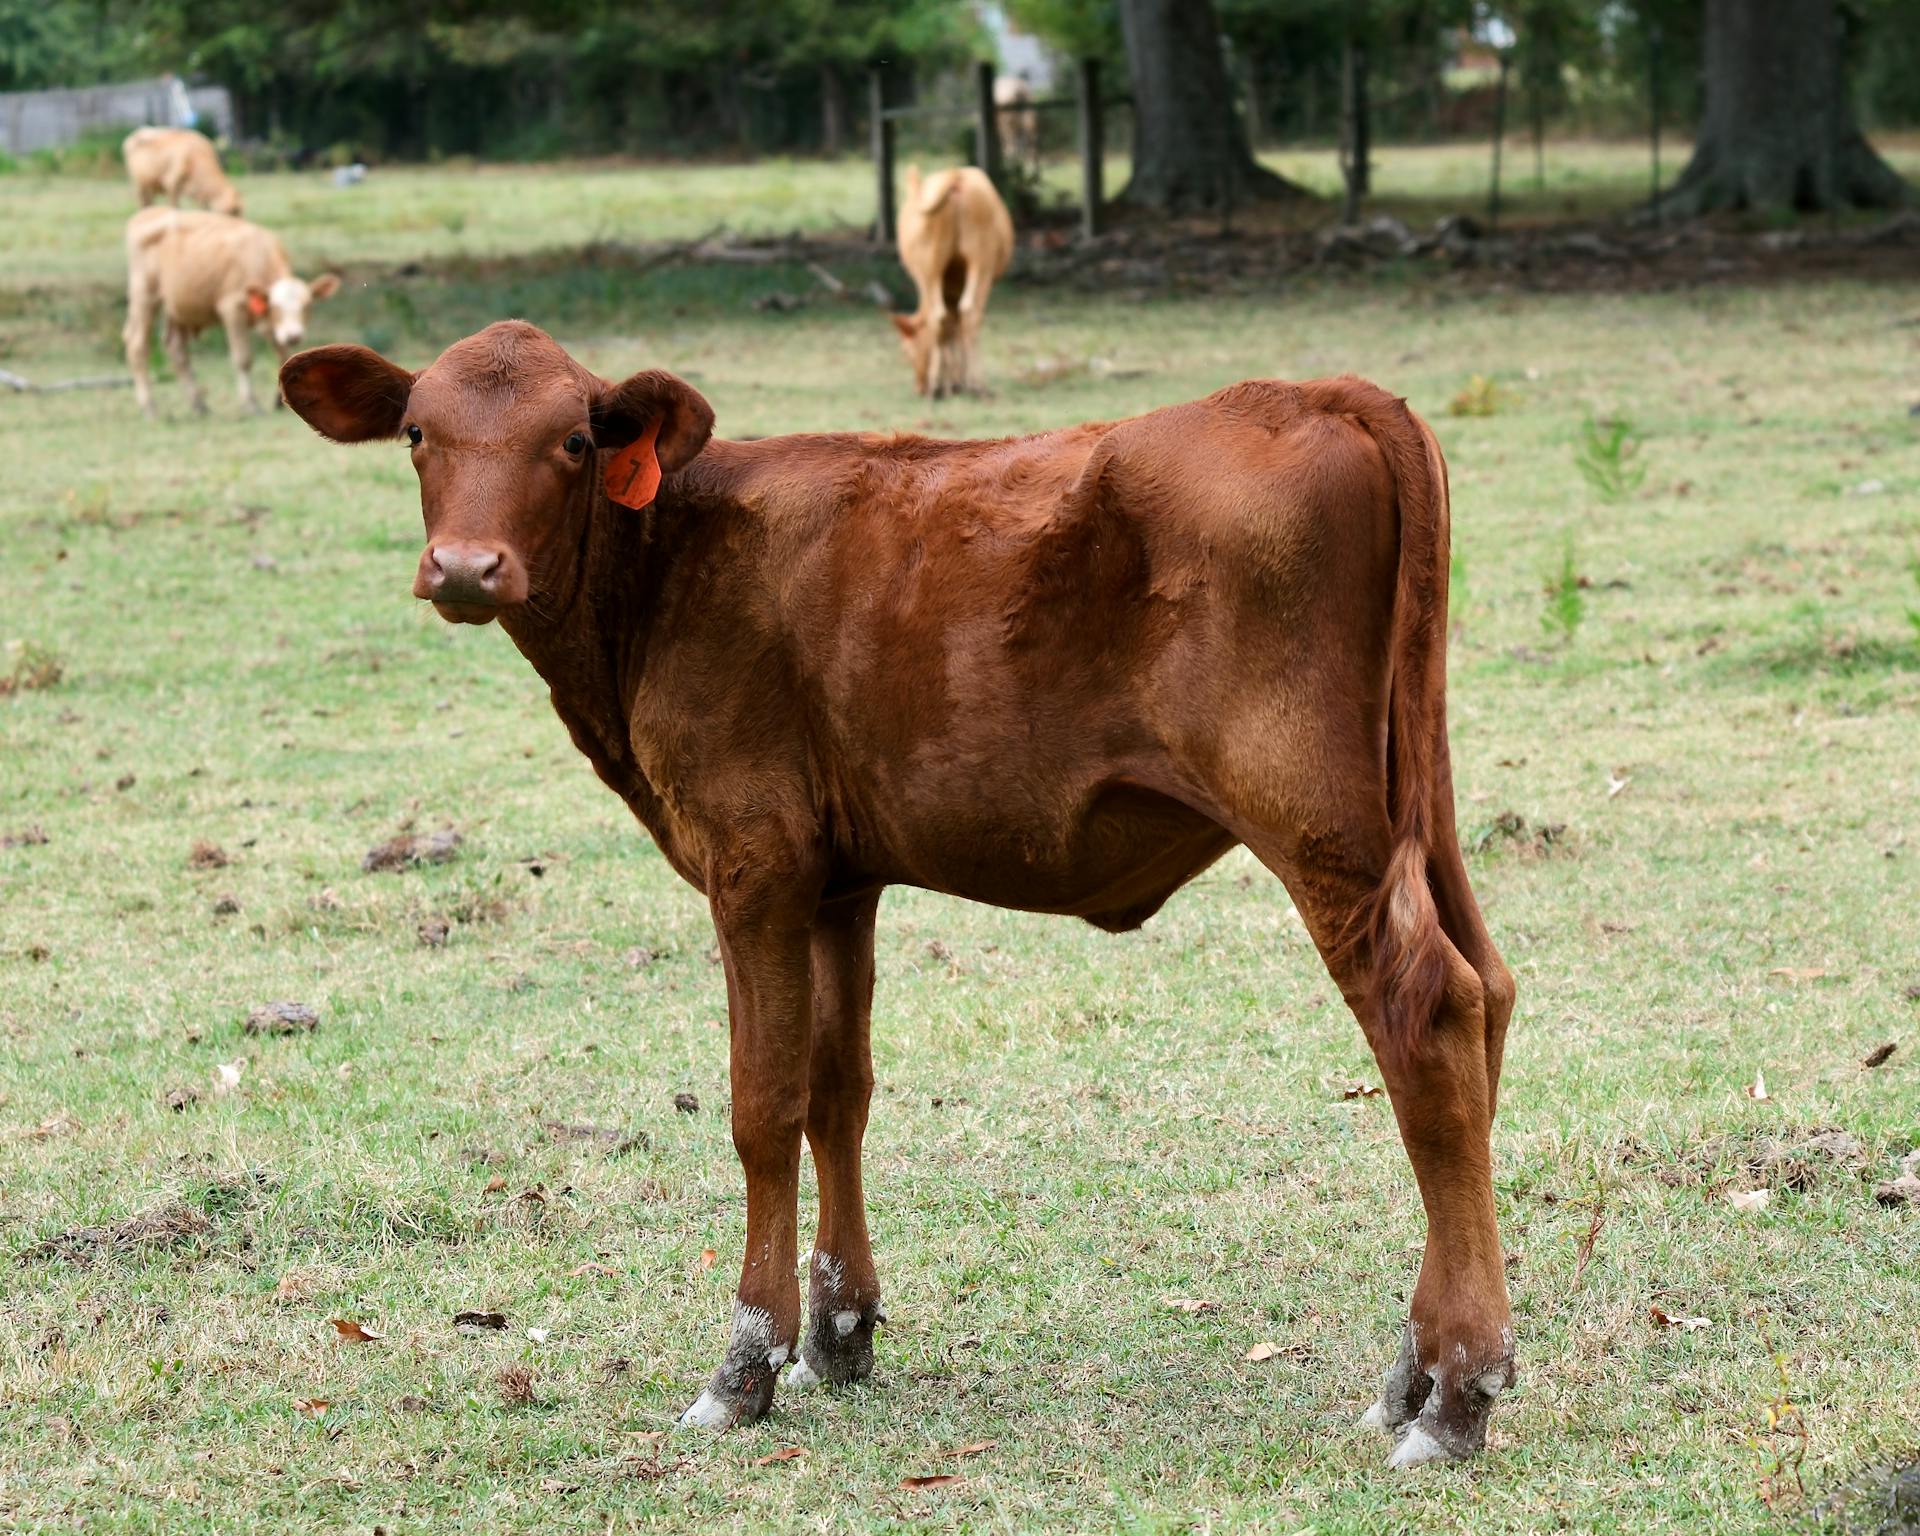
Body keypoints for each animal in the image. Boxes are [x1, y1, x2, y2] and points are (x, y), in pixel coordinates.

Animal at [126, 210, 341, 416]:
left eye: (307, 305)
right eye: (275, 306)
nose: (294, 336)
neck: (258, 256)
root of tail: (147, 213)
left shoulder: (275, 327)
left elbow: (284, 355)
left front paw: (279, 401)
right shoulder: (232, 309)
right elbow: (243, 359)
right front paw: (250, 404)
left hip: (176, 307)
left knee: (176, 348)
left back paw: (199, 405)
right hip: (145, 296)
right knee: (137, 345)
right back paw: (150, 408)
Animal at [280, 318, 1512, 1466]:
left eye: (574, 441)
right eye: (416, 433)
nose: (465, 567)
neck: (667, 563)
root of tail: (1317, 392)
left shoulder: (754, 861)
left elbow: (763, 1106)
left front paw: (745, 1363)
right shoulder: (838, 883)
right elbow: (840, 1090)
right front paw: (839, 1333)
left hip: (1312, 819)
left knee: (1427, 1018)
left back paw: (1459, 1395)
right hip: (1415, 808)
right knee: (1487, 998)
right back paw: (1413, 1370)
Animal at [890, 165, 1013, 399]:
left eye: (906, 351)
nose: (919, 388)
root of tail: (956, 177)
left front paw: (950, 383)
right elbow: (954, 326)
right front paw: (956, 383)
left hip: (930, 270)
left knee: (939, 316)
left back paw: (938, 386)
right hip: (980, 262)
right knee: (967, 313)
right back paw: (974, 385)